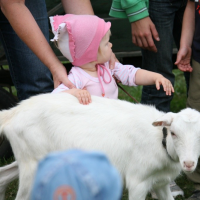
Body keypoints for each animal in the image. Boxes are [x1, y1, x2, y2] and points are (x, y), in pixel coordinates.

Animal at [0, 92, 200, 200]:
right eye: (174, 132)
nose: (189, 164)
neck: (159, 140)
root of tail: (13, 113)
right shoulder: (138, 181)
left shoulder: (161, 181)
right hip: (32, 165)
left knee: (4, 175)